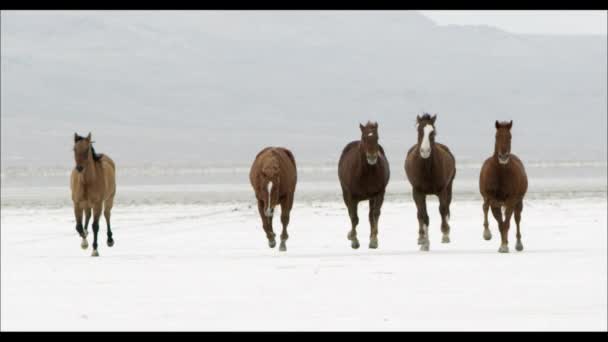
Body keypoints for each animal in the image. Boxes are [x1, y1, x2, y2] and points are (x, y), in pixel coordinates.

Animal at [338, 121, 390, 250]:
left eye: (377, 137)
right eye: (364, 138)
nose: (372, 157)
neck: (366, 174)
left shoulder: (379, 194)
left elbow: (375, 215)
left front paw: (374, 240)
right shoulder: (351, 197)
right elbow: (354, 218)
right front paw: (354, 240)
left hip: (371, 198)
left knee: (371, 216)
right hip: (346, 194)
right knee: (351, 214)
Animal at [404, 114, 456, 251]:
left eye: (433, 132)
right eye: (419, 131)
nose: (425, 151)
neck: (427, 169)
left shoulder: (442, 190)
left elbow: (443, 210)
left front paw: (445, 234)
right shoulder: (418, 193)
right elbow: (424, 216)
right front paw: (426, 243)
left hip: (449, 188)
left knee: (446, 208)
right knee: (419, 214)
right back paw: (421, 237)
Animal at [480, 119, 528, 251]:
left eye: (510, 137)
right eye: (496, 136)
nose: (503, 156)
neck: (500, 174)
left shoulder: (511, 201)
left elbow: (507, 223)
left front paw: (504, 245)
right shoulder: (493, 201)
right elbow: (500, 224)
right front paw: (503, 245)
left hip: (518, 202)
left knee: (517, 219)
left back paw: (518, 244)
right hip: (488, 198)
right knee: (485, 207)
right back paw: (487, 233)